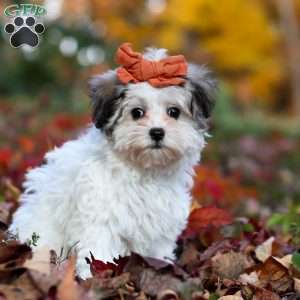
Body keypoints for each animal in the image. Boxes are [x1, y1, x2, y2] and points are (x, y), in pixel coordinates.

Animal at [8, 43, 216, 278]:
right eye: (137, 112)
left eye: (174, 112)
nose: (157, 132)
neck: (144, 171)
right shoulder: (100, 218)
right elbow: (99, 251)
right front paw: (94, 278)